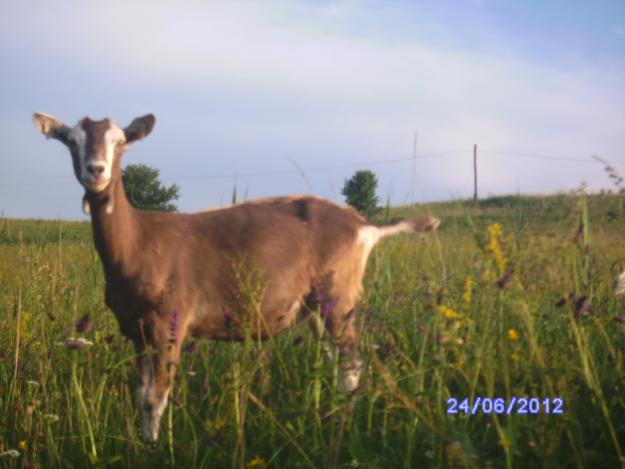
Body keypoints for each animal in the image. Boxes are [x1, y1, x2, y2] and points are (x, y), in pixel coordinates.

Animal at [30, 111, 438, 440]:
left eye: (121, 141)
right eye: (72, 141)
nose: (95, 170)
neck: (139, 242)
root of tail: (363, 226)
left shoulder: (168, 322)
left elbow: (155, 399)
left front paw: (157, 448)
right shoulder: (136, 330)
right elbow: (141, 396)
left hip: (339, 298)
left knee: (352, 366)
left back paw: (343, 430)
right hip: (318, 310)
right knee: (336, 361)